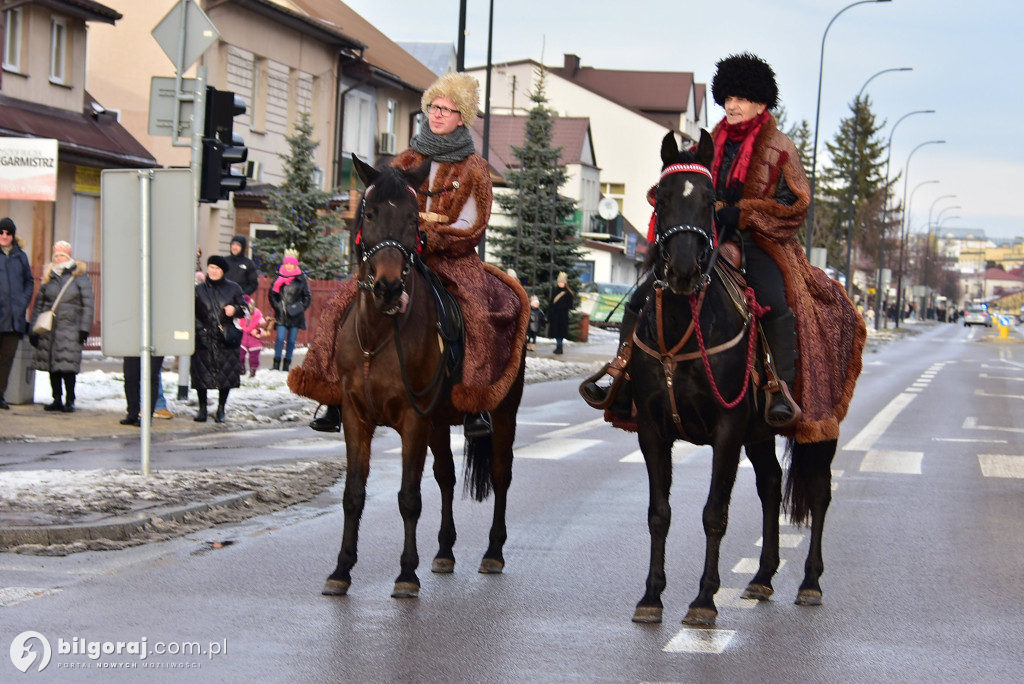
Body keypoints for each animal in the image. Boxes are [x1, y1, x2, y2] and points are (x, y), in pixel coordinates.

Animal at [321, 156, 528, 597]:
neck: (378, 337)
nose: (387, 287)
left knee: (501, 475)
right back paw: (445, 551)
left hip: (503, 412)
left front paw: (405, 574)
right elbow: (353, 494)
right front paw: (341, 569)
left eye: (414, 218)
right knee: (446, 477)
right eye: (370, 212)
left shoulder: (413, 420)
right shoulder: (357, 418)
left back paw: (493, 553)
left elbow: (409, 497)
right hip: (439, 422)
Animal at [630, 131, 839, 626]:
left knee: (819, 492)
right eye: (661, 197)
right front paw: (651, 595)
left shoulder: (726, 429)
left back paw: (810, 581)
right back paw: (763, 577)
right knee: (770, 484)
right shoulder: (652, 428)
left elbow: (714, 514)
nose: (684, 269)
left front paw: (704, 600)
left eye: (710, 201)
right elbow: (659, 513)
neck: (686, 324)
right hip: (759, 433)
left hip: (820, 428)